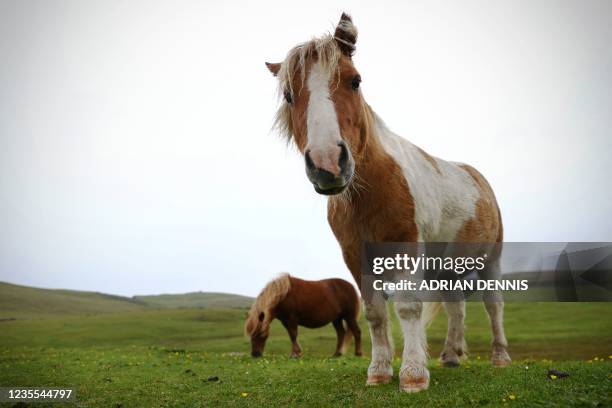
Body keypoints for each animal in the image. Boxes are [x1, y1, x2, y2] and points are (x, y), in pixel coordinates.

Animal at [266, 14, 510, 394]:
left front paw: (413, 374)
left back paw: (499, 357)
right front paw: (379, 371)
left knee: (493, 305)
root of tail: (476, 176)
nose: (327, 163)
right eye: (290, 95)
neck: (371, 191)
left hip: (491, 260)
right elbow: (375, 312)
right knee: (456, 307)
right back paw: (451, 355)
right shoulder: (355, 256)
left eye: (355, 81)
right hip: (448, 268)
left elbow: (408, 307)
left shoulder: (407, 247)